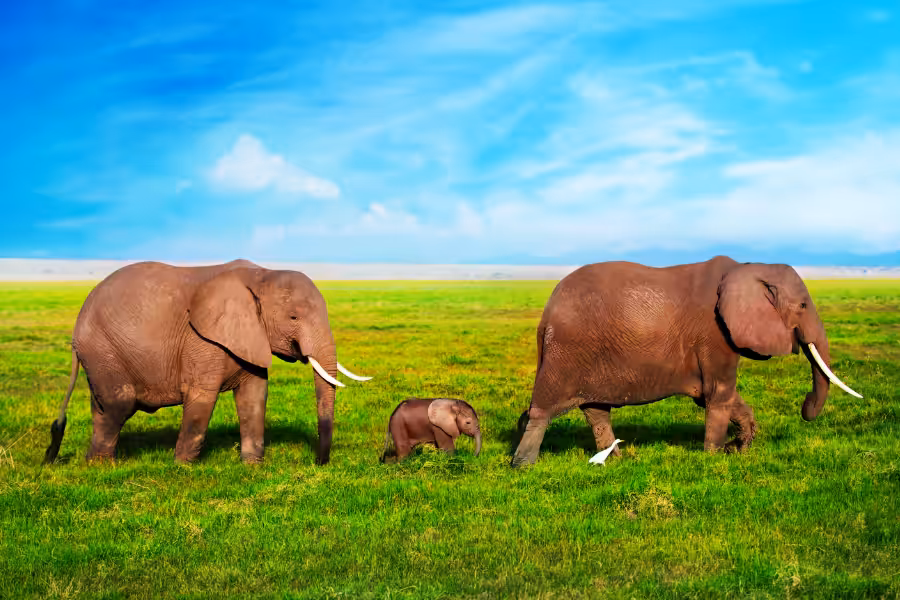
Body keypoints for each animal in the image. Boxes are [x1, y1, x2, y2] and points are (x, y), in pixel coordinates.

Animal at [43, 259, 371, 466]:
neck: (262, 275)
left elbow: (254, 397)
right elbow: (202, 397)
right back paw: (101, 465)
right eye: (293, 317)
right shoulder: (202, 339)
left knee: (102, 407)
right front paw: (181, 467)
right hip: (103, 347)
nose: (317, 462)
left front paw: (253, 466)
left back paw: (95, 462)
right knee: (118, 404)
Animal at [511, 255, 862, 466]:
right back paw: (523, 465)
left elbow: (717, 396)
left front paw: (740, 448)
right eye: (802, 305)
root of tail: (546, 314)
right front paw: (714, 458)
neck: (748, 267)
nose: (805, 405)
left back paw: (618, 460)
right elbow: (718, 394)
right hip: (567, 351)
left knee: (596, 410)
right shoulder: (715, 333)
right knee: (543, 411)